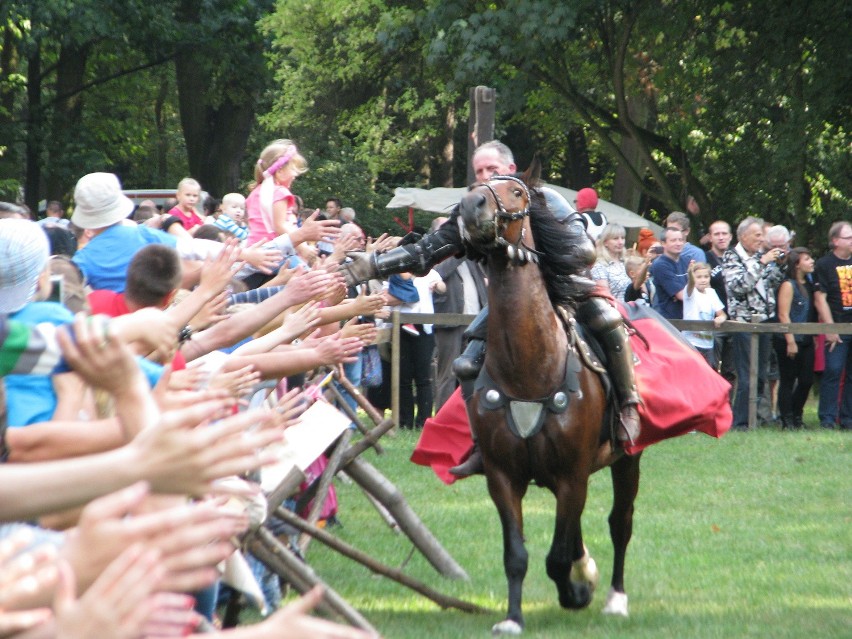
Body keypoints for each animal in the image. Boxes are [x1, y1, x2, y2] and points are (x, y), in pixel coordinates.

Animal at [460, 171, 640, 636]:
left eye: (517, 191)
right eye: (474, 183)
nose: (470, 208)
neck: (529, 367)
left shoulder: (572, 474)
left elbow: (558, 556)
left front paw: (578, 589)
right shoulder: (503, 476)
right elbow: (517, 555)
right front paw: (512, 617)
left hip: (627, 458)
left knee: (620, 522)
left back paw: (616, 597)